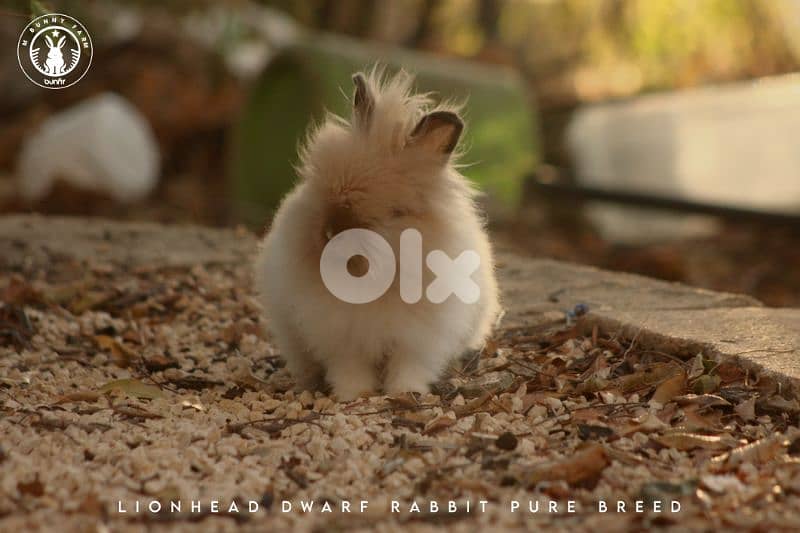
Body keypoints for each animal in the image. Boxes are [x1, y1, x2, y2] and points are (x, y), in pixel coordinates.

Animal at [254, 68, 500, 401]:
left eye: (396, 212)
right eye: (319, 187)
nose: (330, 232)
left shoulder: (419, 340)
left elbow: (409, 366)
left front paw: (405, 392)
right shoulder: (340, 337)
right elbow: (350, 367)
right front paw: (354, 393)